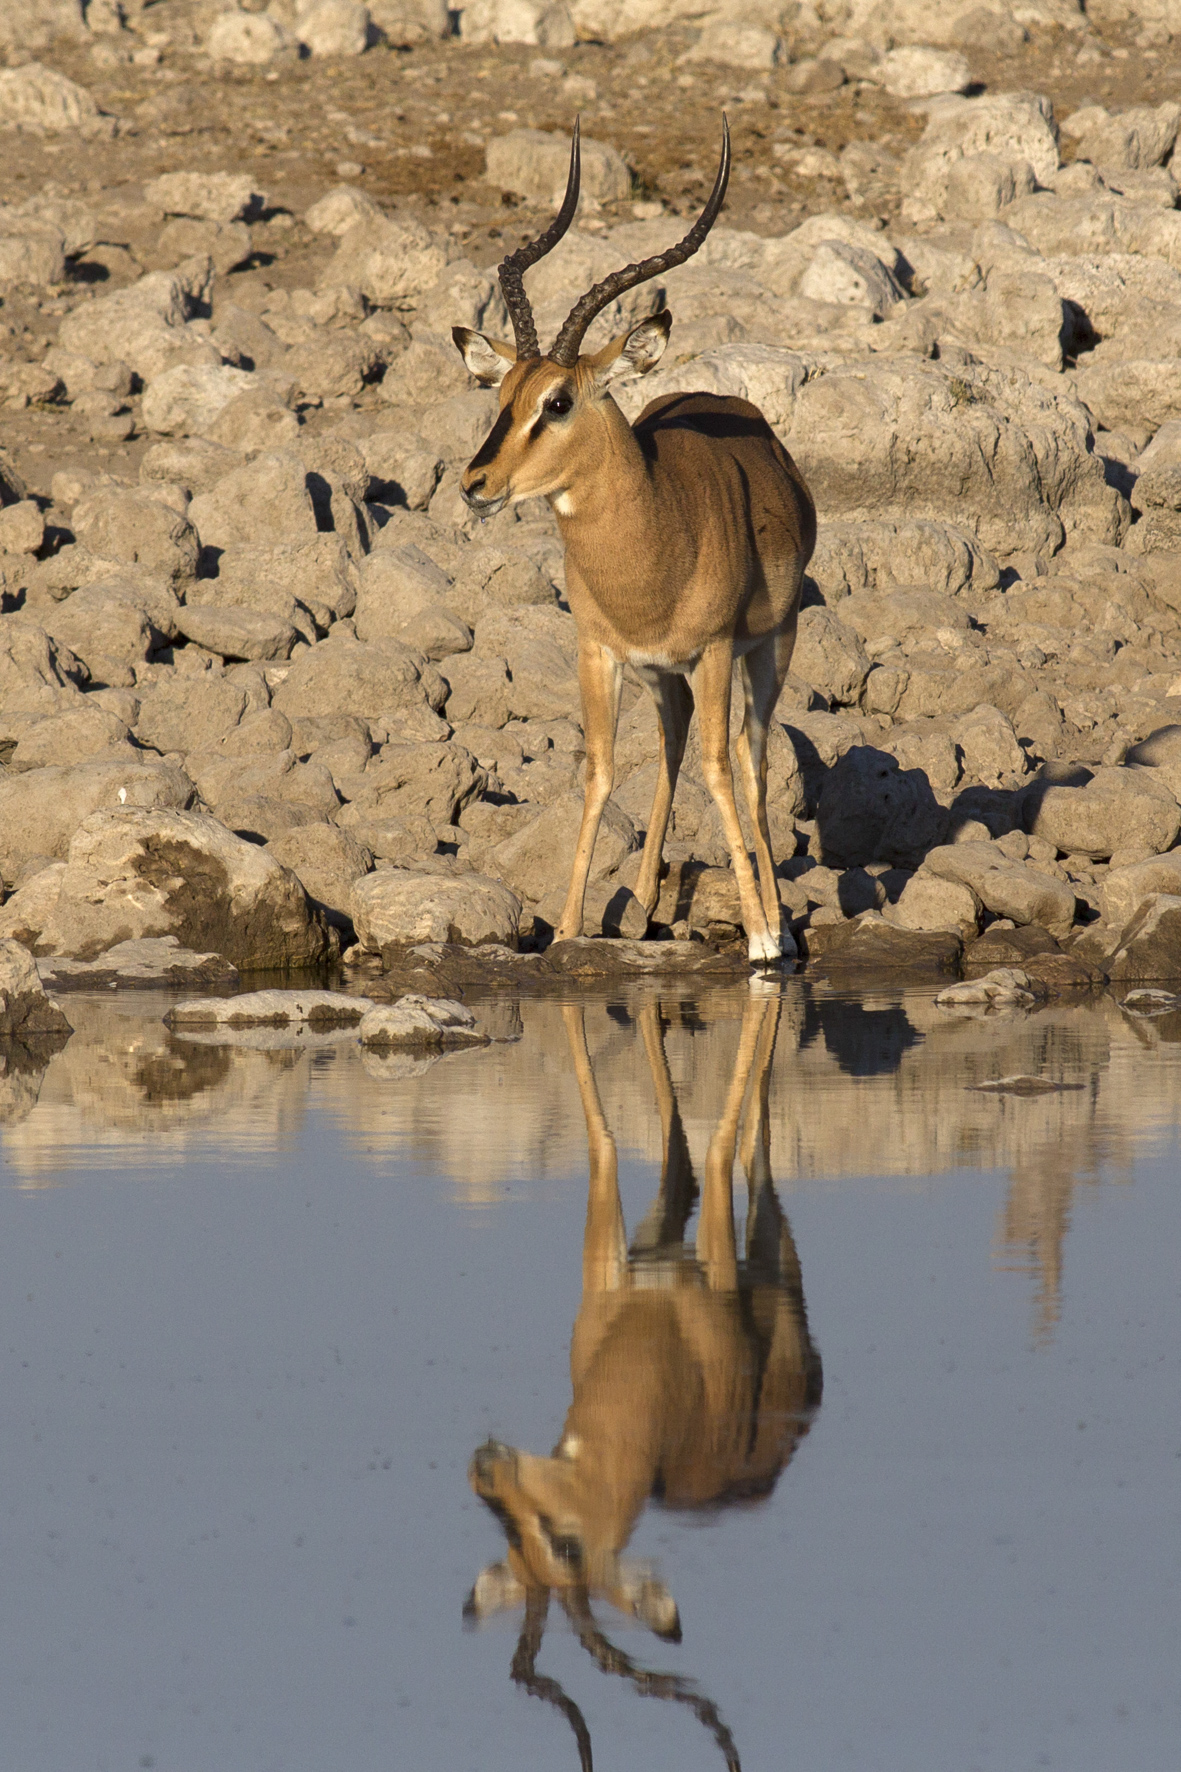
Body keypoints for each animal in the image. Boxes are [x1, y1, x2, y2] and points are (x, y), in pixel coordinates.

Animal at [453, 119, 817, 965]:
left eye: (557, 401)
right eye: (502, 392)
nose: (476, 483)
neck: (656, 540)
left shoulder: (714, 651)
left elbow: (722, 772)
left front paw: (760, 942)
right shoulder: (602, 652)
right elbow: (600, 771)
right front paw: (566, 929)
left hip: (768, 648)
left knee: (748, 761)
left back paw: (777, 924)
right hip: (663, 676)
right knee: (675, 748)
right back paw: (648, 903)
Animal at [465, 993, 822, 1769]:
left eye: (567, 1545)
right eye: (512, 1543)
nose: (484, 1469)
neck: (660, 1347)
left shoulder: (714, 1273)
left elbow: (717, 1149)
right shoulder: (609, 1265)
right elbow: (604, 1147)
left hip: (773, 1266)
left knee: (747, 1161)